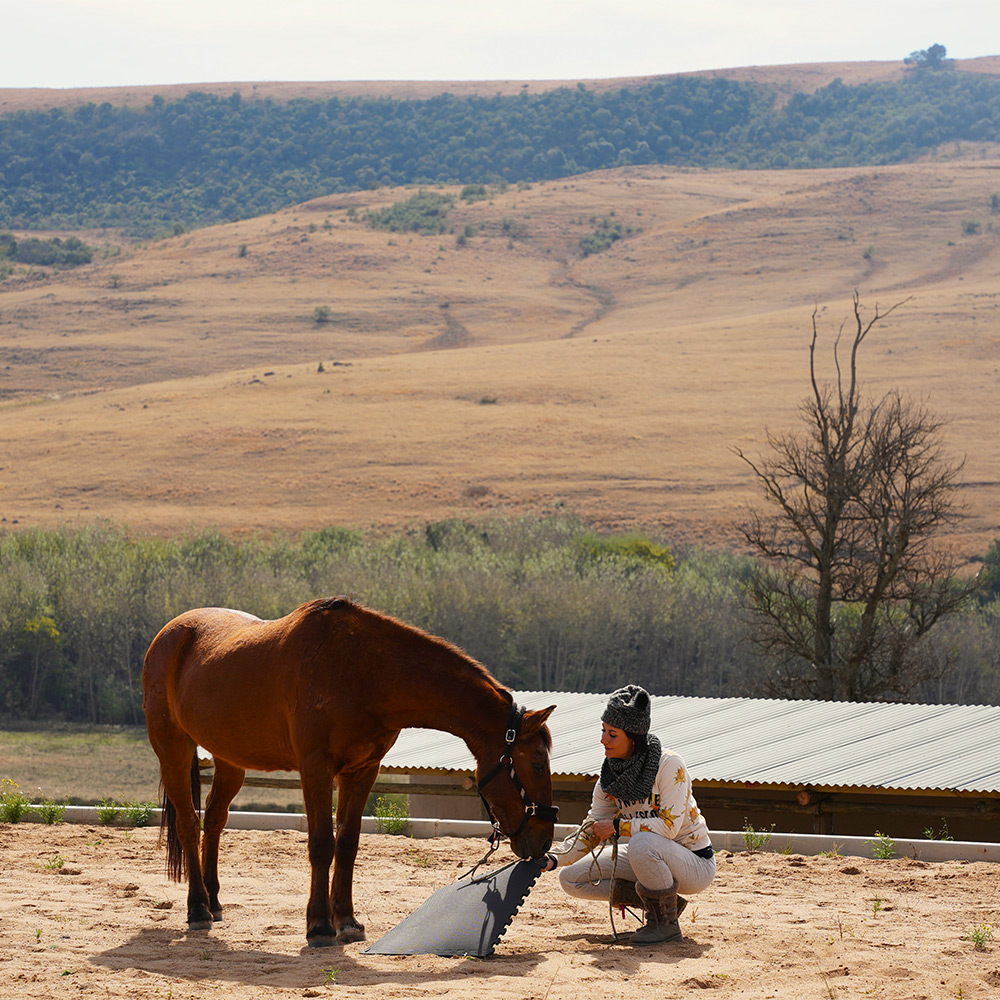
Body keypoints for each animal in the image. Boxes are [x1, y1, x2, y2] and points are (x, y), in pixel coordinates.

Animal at [142, 596, 557, 947]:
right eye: (537, 762)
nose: (543, 843)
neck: (364, 672)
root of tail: (170, 634)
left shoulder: (361, 771)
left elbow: (348, 843)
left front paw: (346, 921)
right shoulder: (316, 768)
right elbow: (322, 844)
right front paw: (319, 926)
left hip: (231, 760)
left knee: (213, 821)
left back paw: (214, 903)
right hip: (173, 750)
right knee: (189, 823)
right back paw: (197, 908)